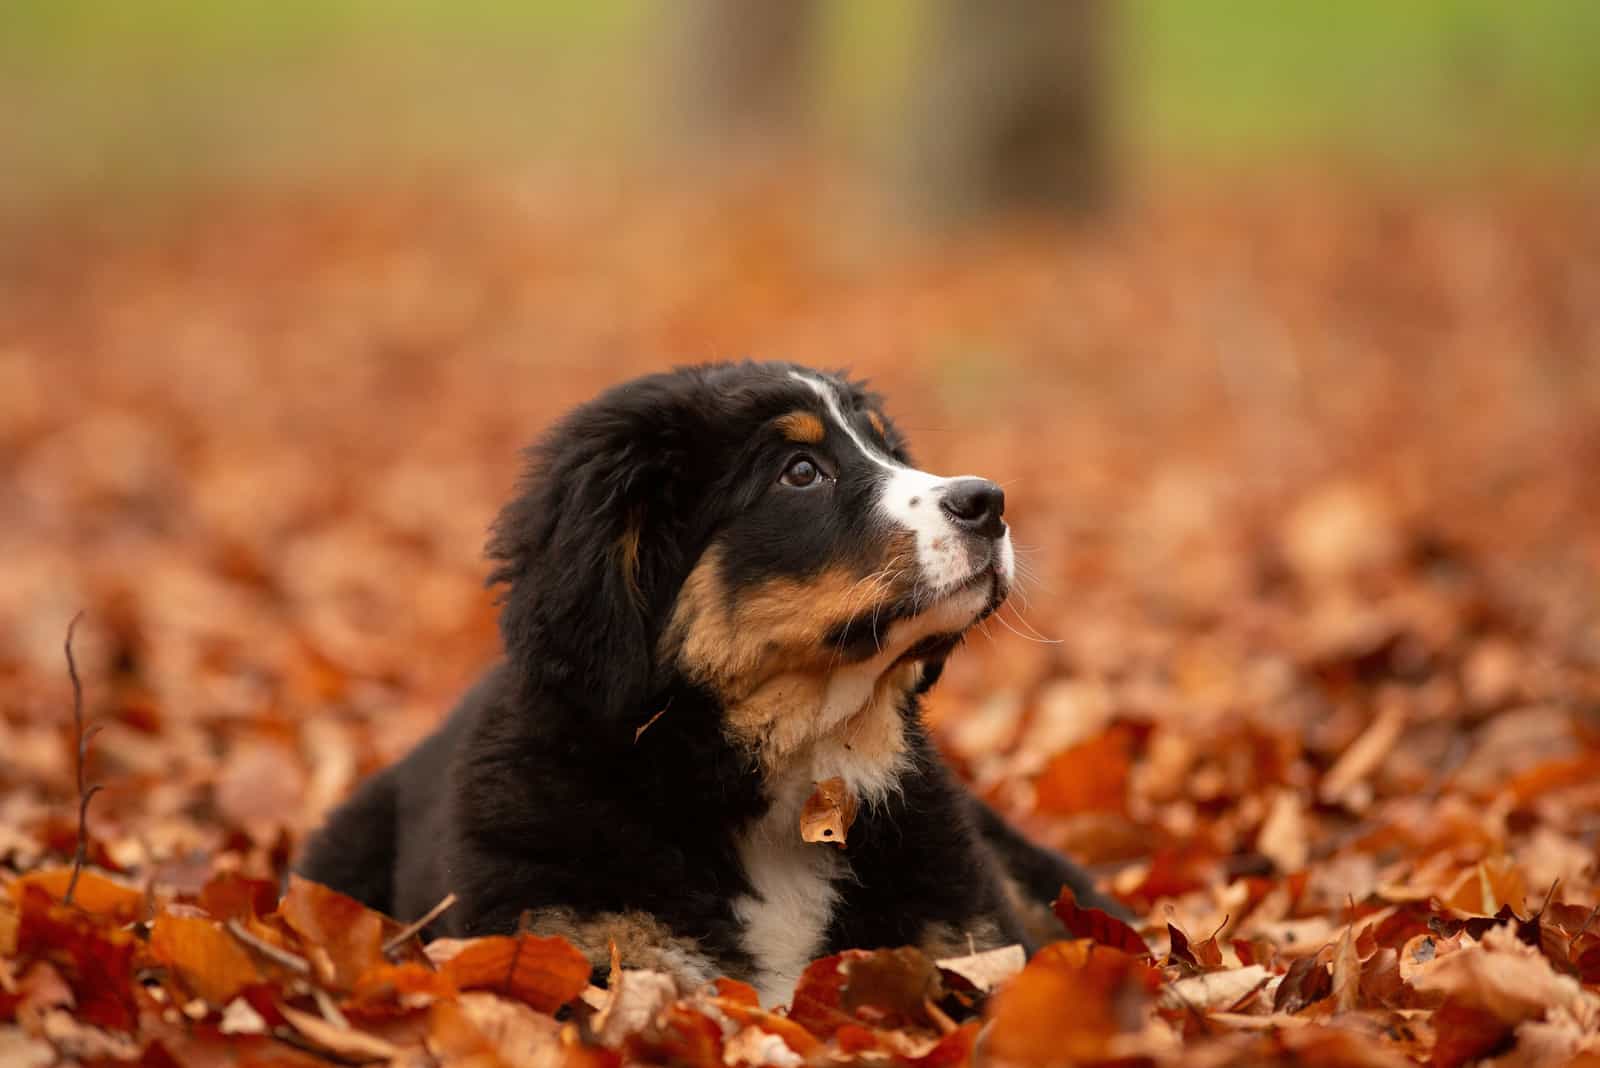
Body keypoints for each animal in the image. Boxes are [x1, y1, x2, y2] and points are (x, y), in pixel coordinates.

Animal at [302, 358, 1126, 1004]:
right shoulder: (578, 933)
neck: (795, 782)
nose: (989, 502)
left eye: (888, 449)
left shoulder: (962, 939)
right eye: (801, 472)